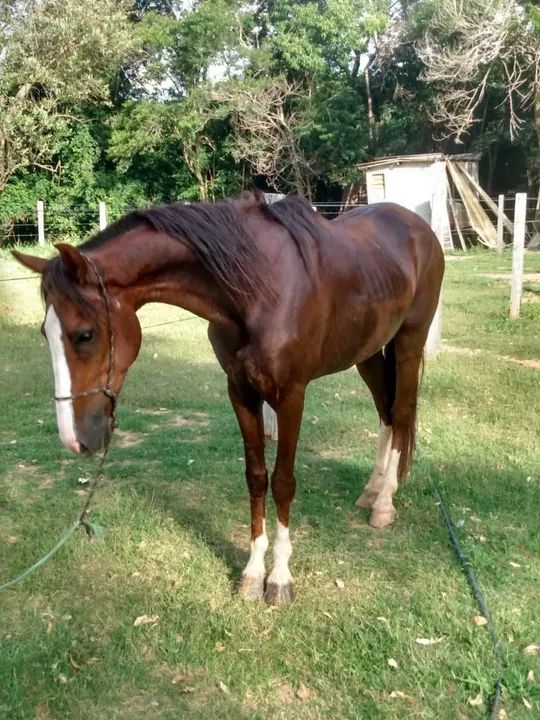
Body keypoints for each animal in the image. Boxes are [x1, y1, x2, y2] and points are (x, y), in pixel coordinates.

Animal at [13, 193, 444, 605]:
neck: (258, 288)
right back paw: (371, 490)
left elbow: (282, 482)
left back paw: (384, 502)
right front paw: (253, 574)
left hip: (408, 342)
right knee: (385, 412)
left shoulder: (291, 395)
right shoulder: (240, 392)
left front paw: (280, 579)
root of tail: (417, 226)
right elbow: (256, 477)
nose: (74, 439)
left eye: (84, 335)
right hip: (368, 352)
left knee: (401, 412)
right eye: (44, 333)